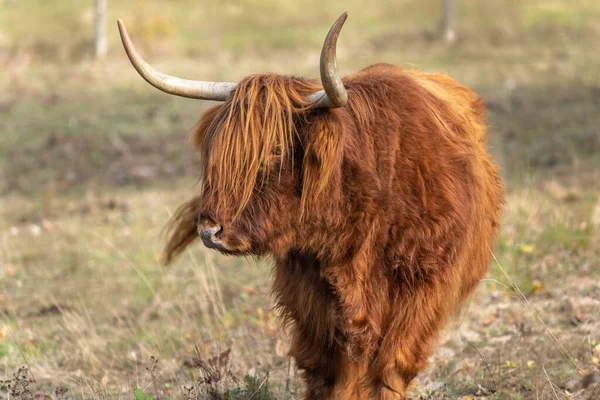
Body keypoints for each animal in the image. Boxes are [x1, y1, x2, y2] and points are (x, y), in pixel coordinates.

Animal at [117, 13, 502, 400]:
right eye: (217, 155)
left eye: (275, 152)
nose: (209, 230)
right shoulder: (307, 292)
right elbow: (327, 367)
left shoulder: (422, 287)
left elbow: (392, 364)